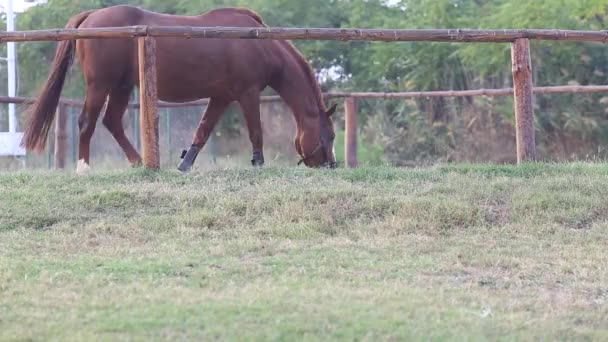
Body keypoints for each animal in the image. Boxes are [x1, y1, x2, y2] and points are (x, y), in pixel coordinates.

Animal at [21, 6, 338, 174]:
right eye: (331, 135)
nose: (331, 165)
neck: (259, 42)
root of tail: (90, 17)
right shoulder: (247, 93)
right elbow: (256, 131)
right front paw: (258, 164)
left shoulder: (221, 97)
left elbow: (203, 130)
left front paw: (185, 164)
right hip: (100, 85)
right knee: (87, 122)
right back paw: (84, 167)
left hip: (122, 86)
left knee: (112, 122)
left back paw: (140, 163)